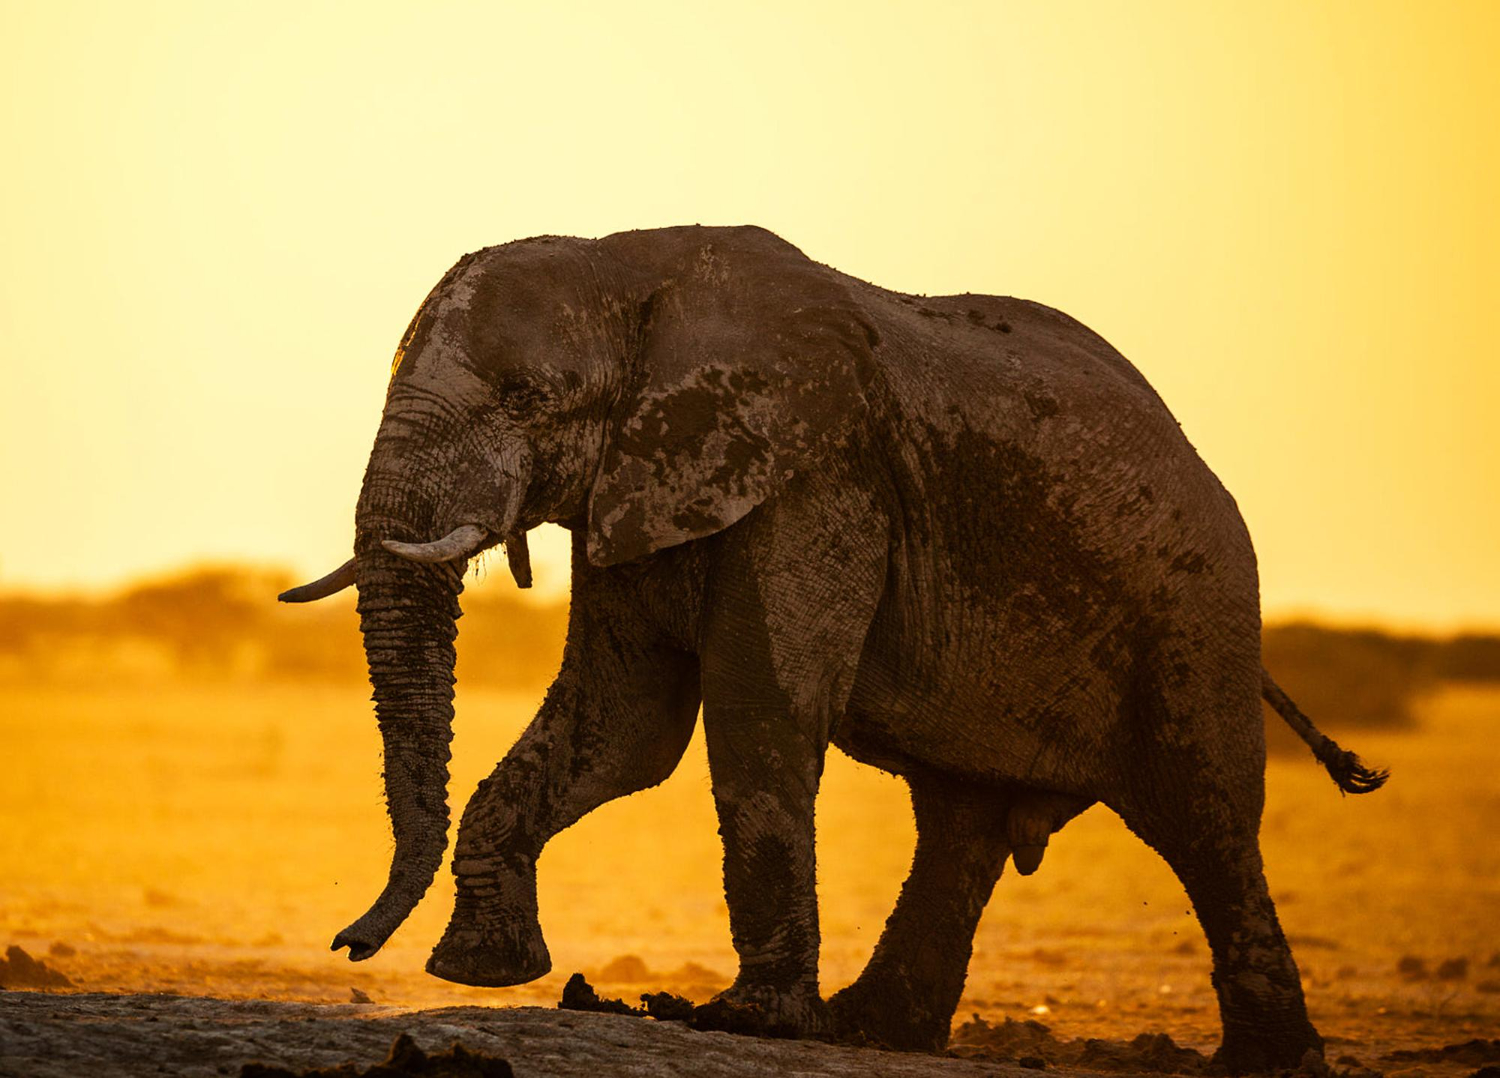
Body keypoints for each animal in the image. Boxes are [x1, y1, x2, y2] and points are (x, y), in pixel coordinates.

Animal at [281, 224, 1386, 1072]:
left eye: (523, 399)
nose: (349, 942)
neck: (630, 268)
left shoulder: (818, 480)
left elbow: (755, 709)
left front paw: (748, 1022)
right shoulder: (642, 483)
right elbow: (622, 730)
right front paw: (480, 970)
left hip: (1195, 609)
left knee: (1205, 818)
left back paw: (1269, 1063)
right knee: (961, 825)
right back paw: (875, 1030)